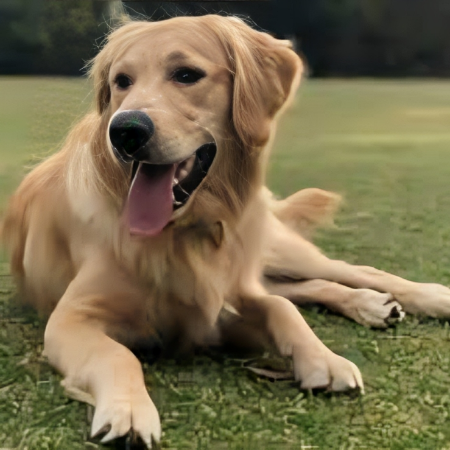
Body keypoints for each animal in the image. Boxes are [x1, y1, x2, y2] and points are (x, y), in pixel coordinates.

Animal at [2, 13, 450, 446]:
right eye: (121, 81)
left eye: (186, 74)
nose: (125, 131)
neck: (186, 232)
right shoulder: (72, 318)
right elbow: (119, 354)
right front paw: (128, 411)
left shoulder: (222, 301)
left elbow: (279, 307)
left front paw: (324, 358)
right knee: (305, 286)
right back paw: (372, 305)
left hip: (275, 249)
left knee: (347, 271)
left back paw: (424, 296)